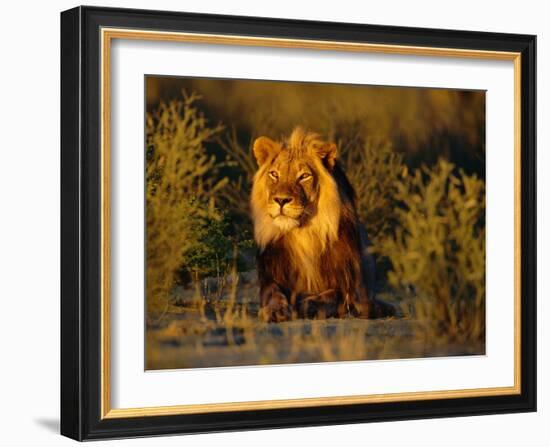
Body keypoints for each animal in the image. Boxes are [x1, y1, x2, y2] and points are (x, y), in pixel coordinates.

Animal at [250, 128, 396, 324]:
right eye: (274, 174)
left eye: (304, 176)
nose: (281, 200)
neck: (304, 234)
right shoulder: (271, 276)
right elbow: (273, 293)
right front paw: (275, 310)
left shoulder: (356, 293)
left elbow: (334, 295)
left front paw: (304, 304)